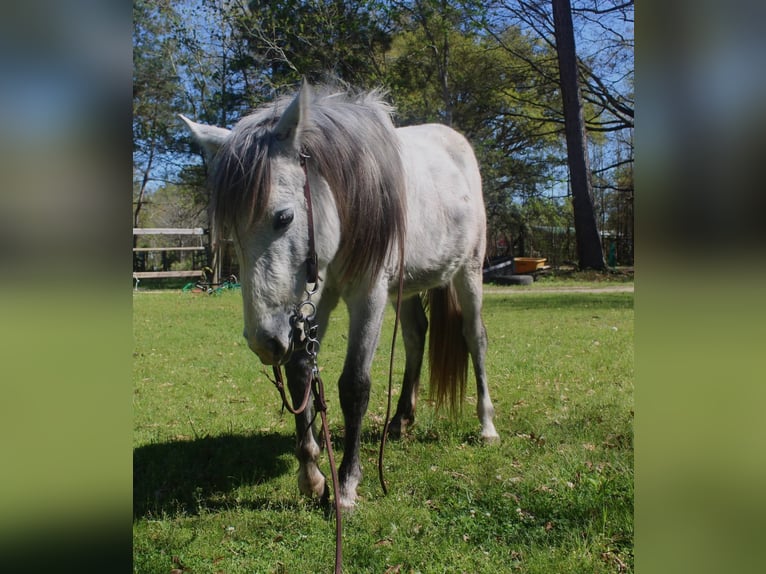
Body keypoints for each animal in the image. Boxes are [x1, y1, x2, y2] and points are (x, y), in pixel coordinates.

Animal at [181, 82, 499, 511]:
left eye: (284, 217)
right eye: (231, 230)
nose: (263, 342)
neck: (349, 200)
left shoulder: (369, 296)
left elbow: (354, 385)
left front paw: (346, 482)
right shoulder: (315, 298)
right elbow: (301, 376)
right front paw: (312, 474)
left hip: (468, 272)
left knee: (474, 338)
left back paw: (486, 425)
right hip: (406, 287)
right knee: (416, 336)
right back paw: (401, 419)